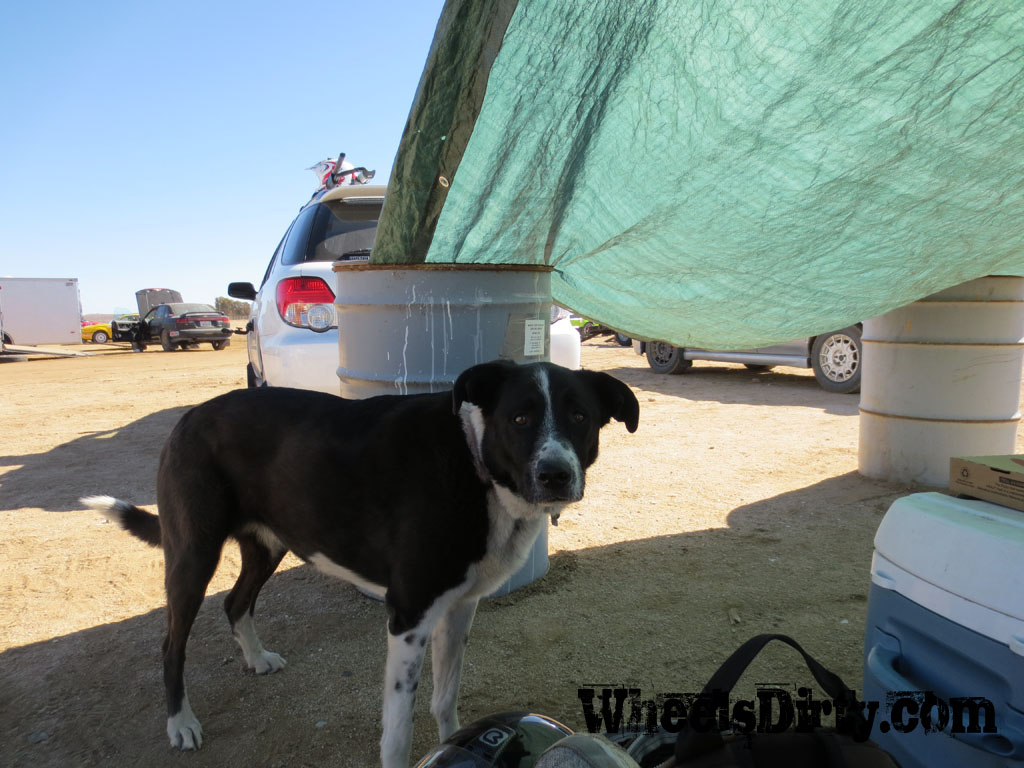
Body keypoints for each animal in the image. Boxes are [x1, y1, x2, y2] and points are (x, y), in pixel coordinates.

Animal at [83, 362, 634, 768]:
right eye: (520, 418)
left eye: (580, 417)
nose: (556, 475)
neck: (474, 466)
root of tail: (189, 416)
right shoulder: (409, 615)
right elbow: (398, 729)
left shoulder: (460, 608)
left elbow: (445, 697)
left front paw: (454, 740)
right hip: (194, 552)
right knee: (172, 642)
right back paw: (181, 723)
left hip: (270, 543)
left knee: (235, 602)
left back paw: (256, 659)